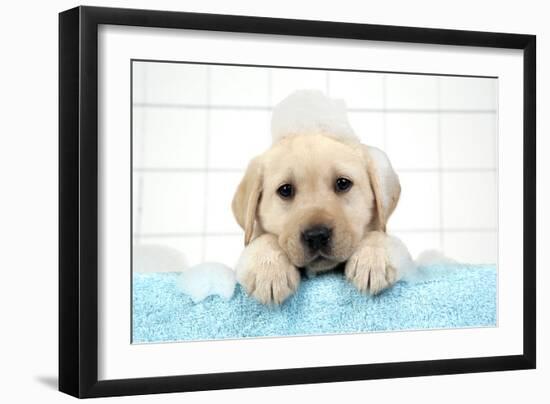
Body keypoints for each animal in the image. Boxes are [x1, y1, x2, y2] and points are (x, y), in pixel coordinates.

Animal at [233, 132, 402, 304]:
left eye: (343, 183)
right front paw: (269, 269)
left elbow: (377, 234)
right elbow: (264, 238)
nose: (317, 236)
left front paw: (372, 259)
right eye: (285, 190)